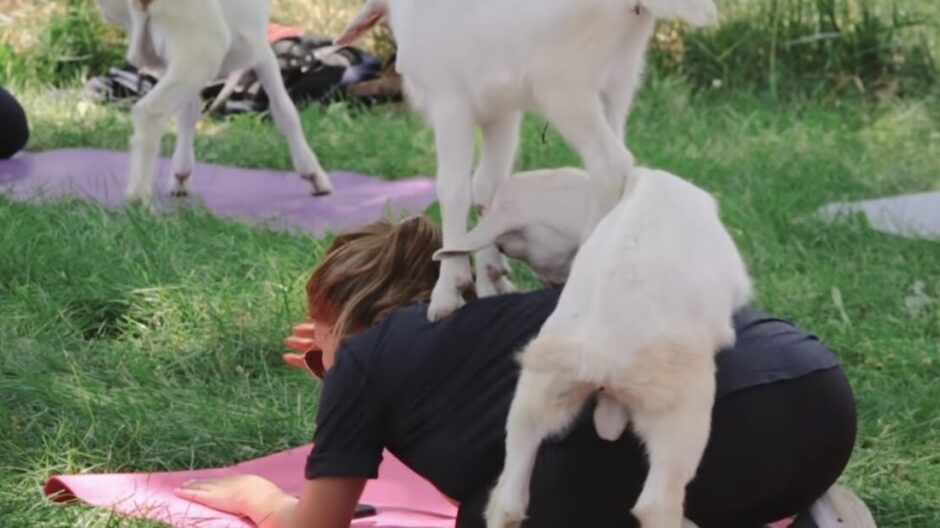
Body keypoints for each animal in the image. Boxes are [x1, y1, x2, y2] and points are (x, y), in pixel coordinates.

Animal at [97, 0, 332, 205]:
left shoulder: (168, 61)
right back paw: (138, 197)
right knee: (150, 111)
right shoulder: (261, 48)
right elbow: (284, 111)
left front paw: (181, 176)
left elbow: (188, 113)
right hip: (203, 47)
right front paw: (313, 175)